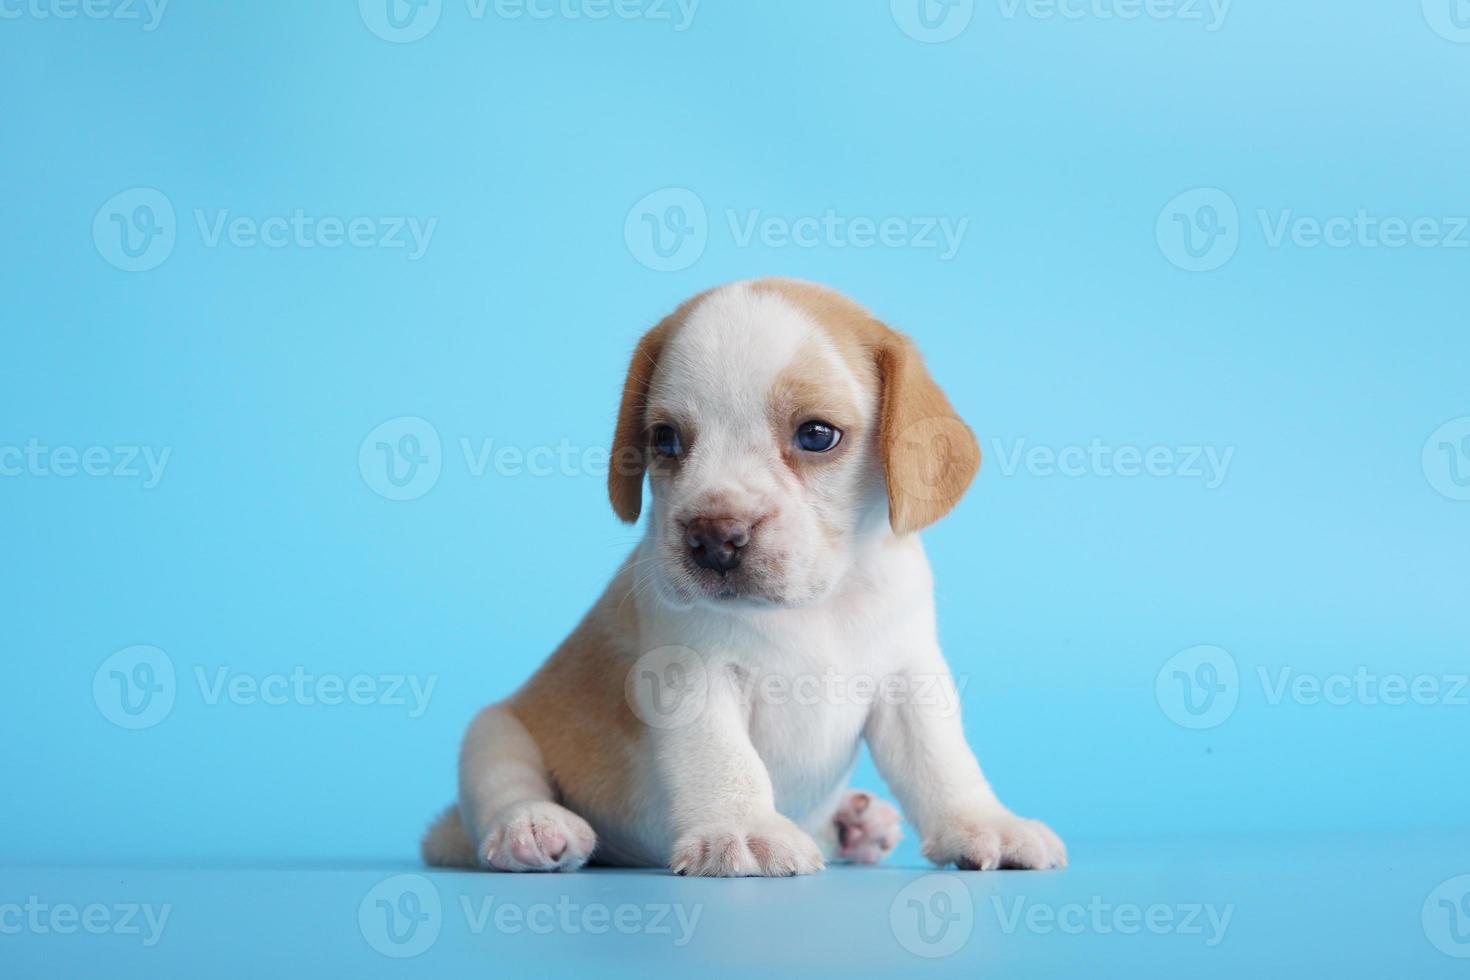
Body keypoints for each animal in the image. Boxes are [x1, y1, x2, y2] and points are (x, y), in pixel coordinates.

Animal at [420, 279, 1064, 875]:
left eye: (817, 434)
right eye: (664, 439)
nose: (713, 538)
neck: (817, 605)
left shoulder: (910, 681)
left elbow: (942, 762)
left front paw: (984, 823)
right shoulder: (691, 677)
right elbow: (723, 759)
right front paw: (744, 828)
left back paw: (853, 827)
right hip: (493, 732)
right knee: (501, 789)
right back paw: (529, 827)